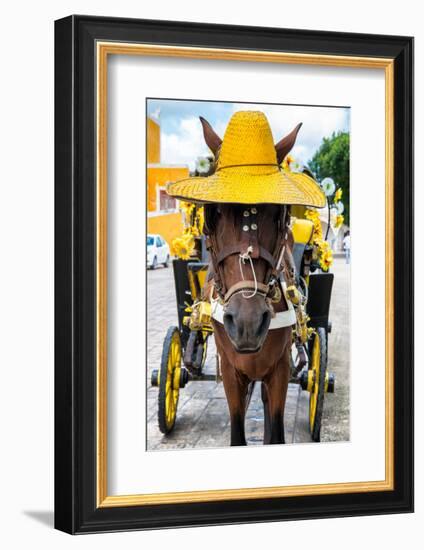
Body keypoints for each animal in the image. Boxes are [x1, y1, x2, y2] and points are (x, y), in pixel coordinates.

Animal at [200, 118, 302, 446]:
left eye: (278, 212)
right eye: (213, 212)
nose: (248, 322)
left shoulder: (280, 369)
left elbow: (277, 431)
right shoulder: (230, 371)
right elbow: (237, 432)